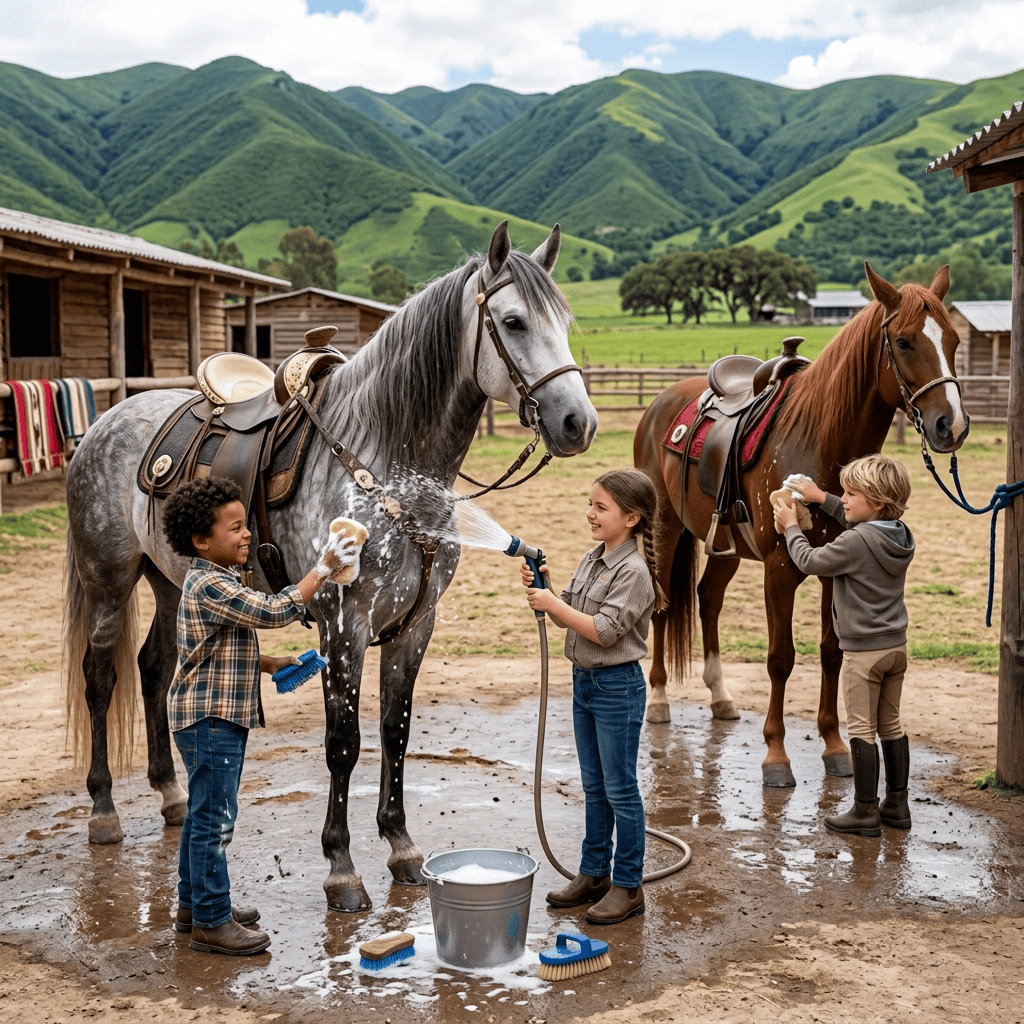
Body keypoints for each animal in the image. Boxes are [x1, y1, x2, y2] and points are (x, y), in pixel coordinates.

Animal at [62, 221, 598, 911]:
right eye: (512, 321)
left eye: (565, 320)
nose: (578, 422)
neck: (386, 459)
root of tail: (107, 421)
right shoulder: (344, 625)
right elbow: (343, 743)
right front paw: (341, 867)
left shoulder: (415, 625)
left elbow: (395, 732)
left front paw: (401, 846)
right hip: (108, 581)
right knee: (100, 680)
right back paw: (103, 809)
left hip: (168, 581)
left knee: (155, 671)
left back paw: (172, 795)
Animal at [633, 262, 969, 787]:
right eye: (905, 341)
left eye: (953, 339)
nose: (950, 426)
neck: (819, 438)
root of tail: (661, 403)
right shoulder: (779, 568)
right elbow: (780, 658)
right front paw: (775, 755)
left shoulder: (838, 566)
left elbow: (832, 651)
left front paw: (834, 746)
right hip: (666, 529)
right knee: (664, 606)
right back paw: (661, 700)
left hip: (724, 544)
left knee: (708, 600)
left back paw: (720, 697)